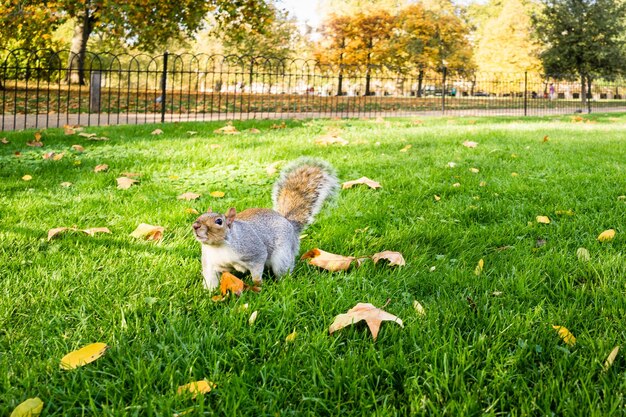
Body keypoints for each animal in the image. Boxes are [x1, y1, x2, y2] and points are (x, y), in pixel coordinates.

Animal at [190, 157, 336, 290]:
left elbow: (257, 271)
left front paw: (257, 286)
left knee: (283, 269)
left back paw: (282, 283)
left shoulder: (255, 252)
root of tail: (289, 223)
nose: (195, 226)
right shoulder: (210, 263)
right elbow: (210, 278)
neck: (220, 247)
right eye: (199, 216)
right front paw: (209, 293)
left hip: (282, 255)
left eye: (219, 221)